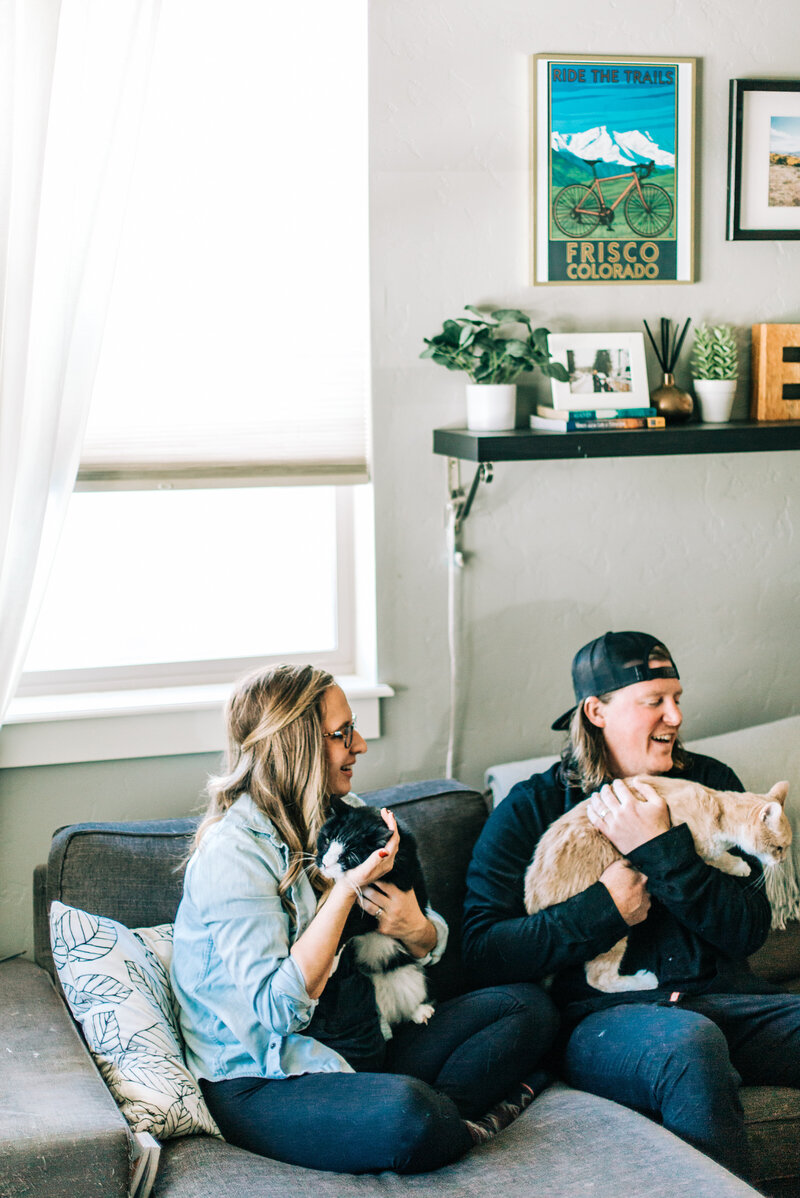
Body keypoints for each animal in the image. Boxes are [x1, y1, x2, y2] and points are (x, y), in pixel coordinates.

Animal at [316, 800, 433, 1035]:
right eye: (327, 839)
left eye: (349, 856)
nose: (324, 864)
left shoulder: (384, 903)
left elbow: (350, 923)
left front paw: (330, 963)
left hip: (408, 974)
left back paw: (420, 1012)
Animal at [522, 776, 790, 991]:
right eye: (779, 848)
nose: (784, 860)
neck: (716, 807)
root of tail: (532, 900)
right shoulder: (686, 839)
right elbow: (713, 857)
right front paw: (739, 865)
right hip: (613, 929)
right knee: (599, 979)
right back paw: (644, 981)